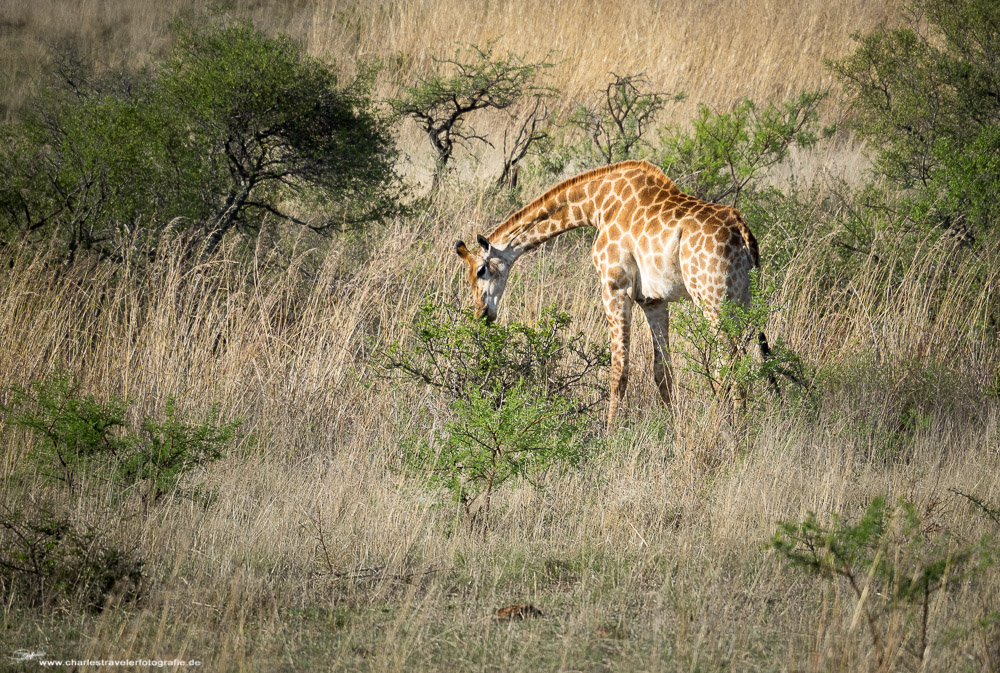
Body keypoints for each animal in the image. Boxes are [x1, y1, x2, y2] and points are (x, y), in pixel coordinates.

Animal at [458, 159, 768, 422]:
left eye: (480, 271)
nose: (482, 314)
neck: (598, 204)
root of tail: (743, 233)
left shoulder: (614, 285)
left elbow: (618, 370)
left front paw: (610, 436)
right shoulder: (652, 299)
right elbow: (663, 371)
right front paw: (673, 428)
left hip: (713, 301)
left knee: (732, 364)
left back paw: (728, 428)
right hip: (743, 301)